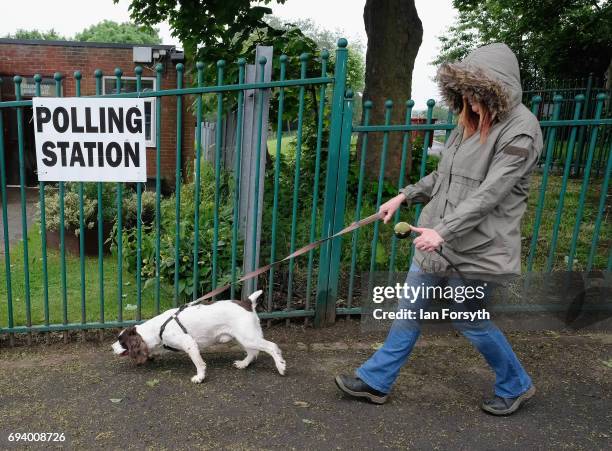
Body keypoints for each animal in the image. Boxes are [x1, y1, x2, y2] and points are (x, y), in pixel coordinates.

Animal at [111, 292, 286, 384]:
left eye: (121, 342)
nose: (111, 347)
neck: (157, 329)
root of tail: (247, 302)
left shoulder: (189, 344)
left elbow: (199, 363)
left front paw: (200, 377)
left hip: (248, 338)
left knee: (272, 347)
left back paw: (281, 366)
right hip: (242, 337)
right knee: (252, 353)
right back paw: (243, 364)